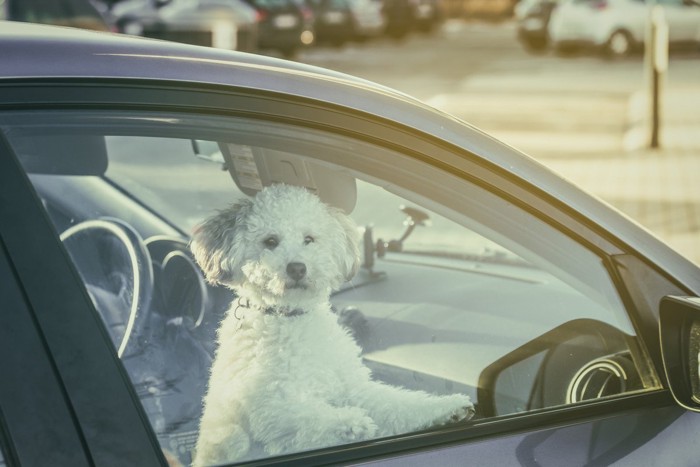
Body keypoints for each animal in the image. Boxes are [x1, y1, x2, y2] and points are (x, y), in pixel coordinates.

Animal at [191, 185, 476, 466]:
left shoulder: (356, 388)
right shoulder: (267, 407)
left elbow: (398, 403)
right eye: (270, 241)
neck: (292, 318)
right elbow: (305, 415)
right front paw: (348, 422)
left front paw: (447, 408)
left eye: (309, 239)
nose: (297, 268)